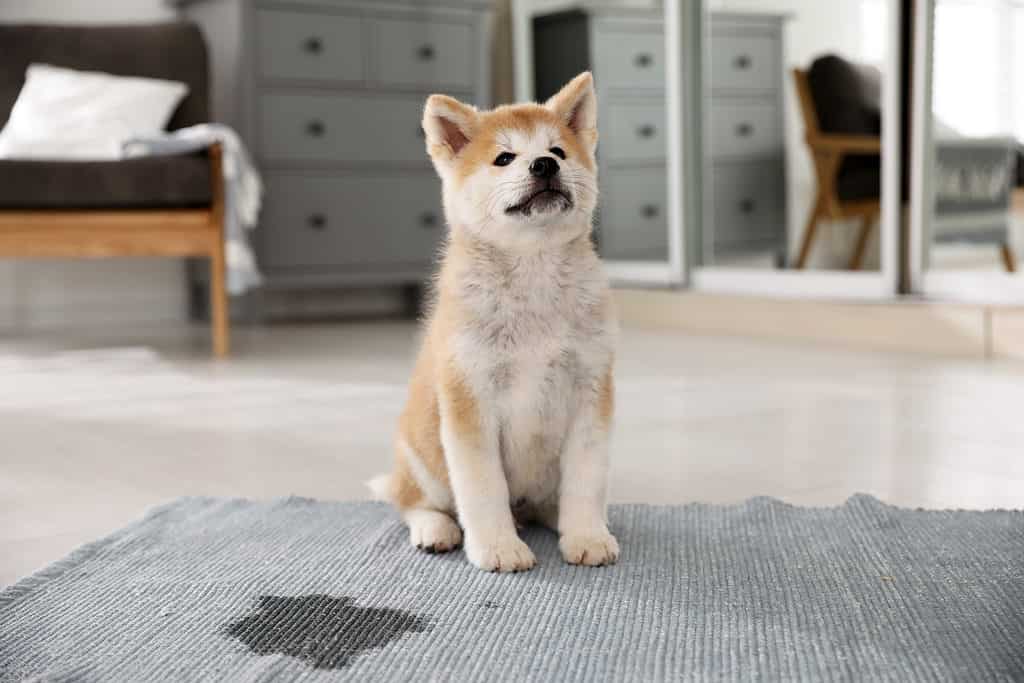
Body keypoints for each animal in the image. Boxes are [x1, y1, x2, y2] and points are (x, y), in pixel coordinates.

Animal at [372, 73, 618, 573]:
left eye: (558, 150)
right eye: (504, 158)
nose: (544, 165)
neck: (533, 277)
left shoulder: (590, 392)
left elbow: (586, 481)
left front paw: (586, 535)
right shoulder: (471, 400)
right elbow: (483, 490)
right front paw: (499, 548)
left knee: (548, 501)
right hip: (422, 457)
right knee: (412, 502)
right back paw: (435, 529)